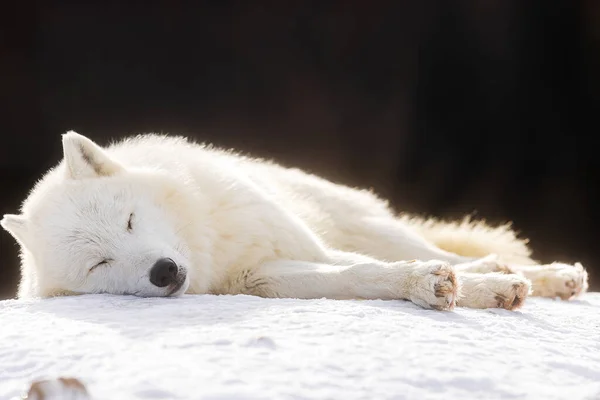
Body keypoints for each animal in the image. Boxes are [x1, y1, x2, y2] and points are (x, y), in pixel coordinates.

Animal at [0, 131, 588, 310]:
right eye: (99, 264)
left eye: (128, 221)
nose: (163, 272)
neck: (211, 253)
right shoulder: (265, 276)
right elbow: (359, 276)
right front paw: (433, 287)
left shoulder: (301, 247)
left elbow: (369, 266)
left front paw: (485, 286)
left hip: (365, 224)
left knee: (438, 247)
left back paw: (549, 276)